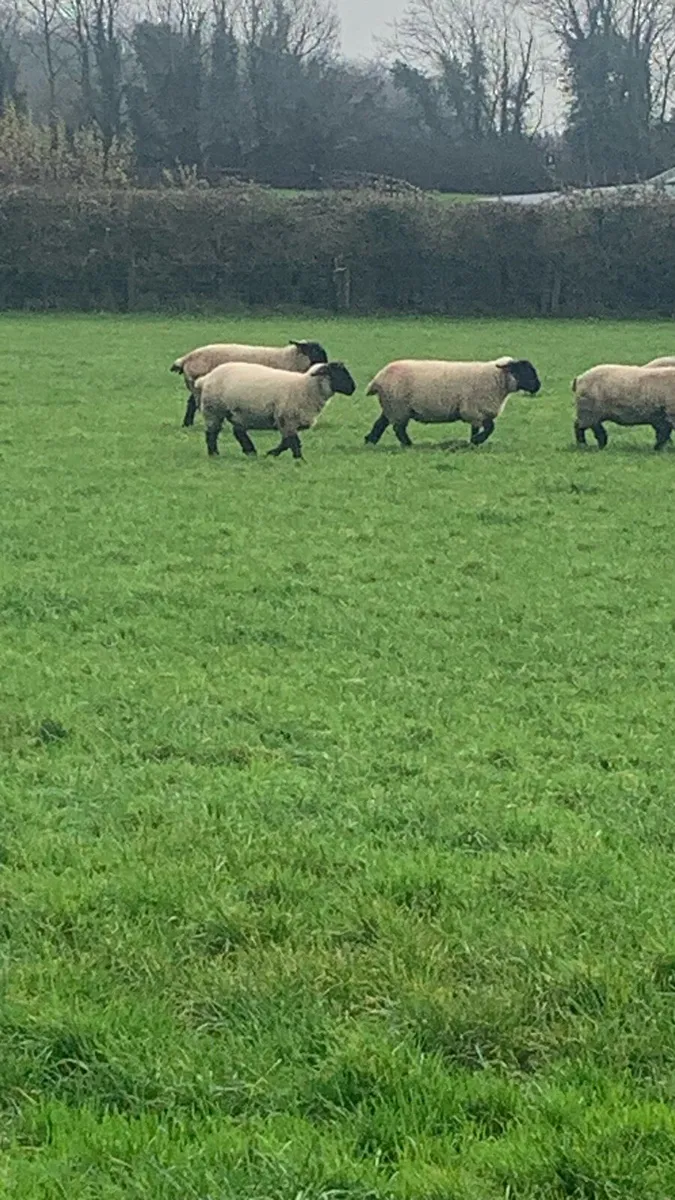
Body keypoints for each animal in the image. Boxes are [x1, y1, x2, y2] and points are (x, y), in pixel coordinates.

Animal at [170, 339, 328, 428]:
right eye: (314, 350)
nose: (325, 365)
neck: (289, 359)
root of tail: (185, 359)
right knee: (197, 405)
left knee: (191, 403)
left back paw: (187, 424)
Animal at [194, 360, 357, 460]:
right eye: (336, 372)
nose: (353, 388)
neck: (306, 387)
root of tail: (205, 378)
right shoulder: (287, 419)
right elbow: (293, 442)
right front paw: (299, 459)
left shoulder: (287, 421)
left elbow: (286, 442)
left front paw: (271, 453)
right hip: (213, 410)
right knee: (212, 433)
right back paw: (214, 453)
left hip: (237, 413)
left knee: (238, 432)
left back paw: (250, 451)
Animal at [363, 357, 541, 448]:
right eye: (522, 370)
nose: (538, 386)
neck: (497, 380)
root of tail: (378, 378)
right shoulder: (473, 410)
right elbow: (490, 428)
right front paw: (477, 441)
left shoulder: (477, 413)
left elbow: (477, 429)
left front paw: (473, 443)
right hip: (399, 407)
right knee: (398, 429)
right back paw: (409, 444)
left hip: (392, 407)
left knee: (381, 423)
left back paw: (370, 441)